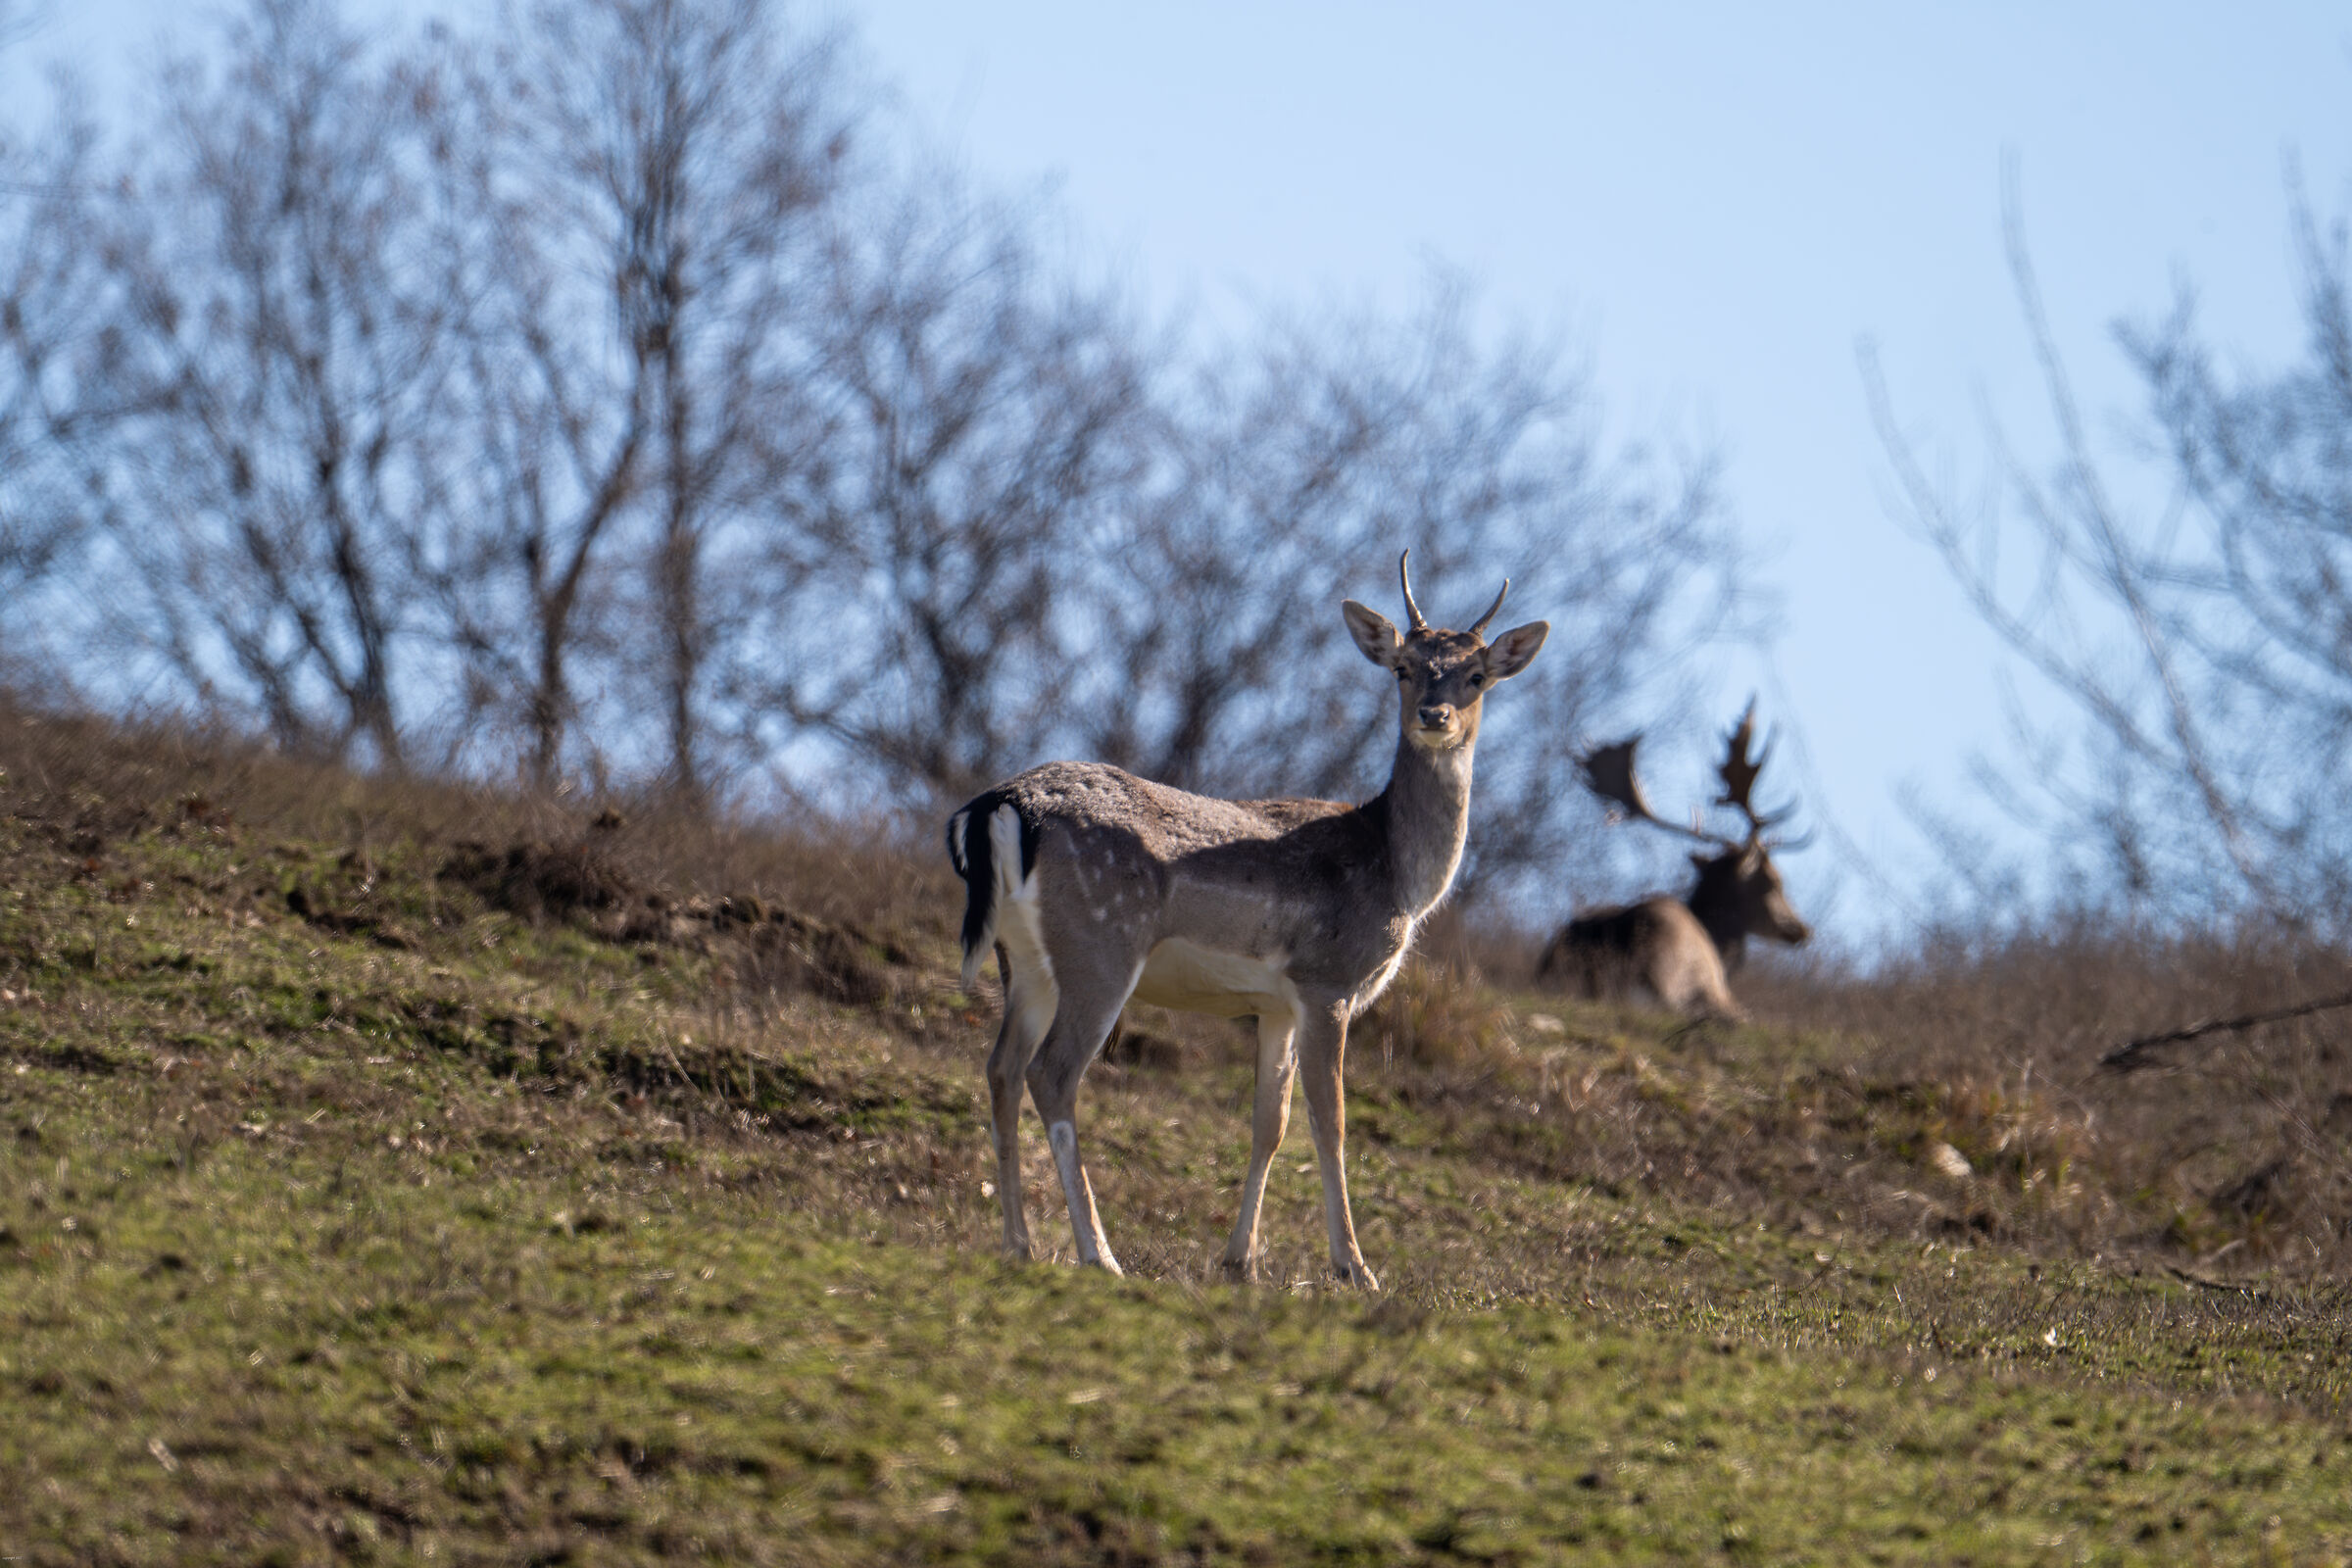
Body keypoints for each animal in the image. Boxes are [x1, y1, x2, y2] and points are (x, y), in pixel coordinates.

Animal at [945, 553, 1548, 1289]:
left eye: (1476, 674)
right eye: (1403, 667)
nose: (1435, 715)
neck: (1398, 877)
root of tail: (1000, 804)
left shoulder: (1276, 1005)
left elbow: (1271, 1123)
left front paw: (1239, 1262)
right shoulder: (1328, 982)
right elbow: (1330, 1121)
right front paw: (1355, 1269)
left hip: (1024, 956)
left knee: (1001, 1067)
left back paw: (1019, 1243)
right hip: (1101, 944)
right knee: (1052, 1073)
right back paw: (1100, 1254)